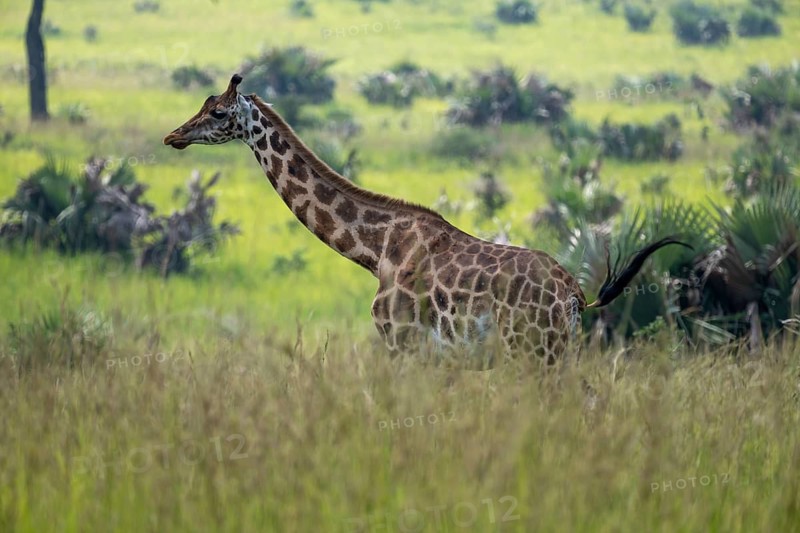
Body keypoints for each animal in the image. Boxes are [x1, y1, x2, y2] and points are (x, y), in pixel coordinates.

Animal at [164, 74, 688, 362]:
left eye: (218, 112)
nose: (173, 136)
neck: (376, 249)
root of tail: (576, 295)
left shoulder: (402, 344)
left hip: (535, 350)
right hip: (558, 351)